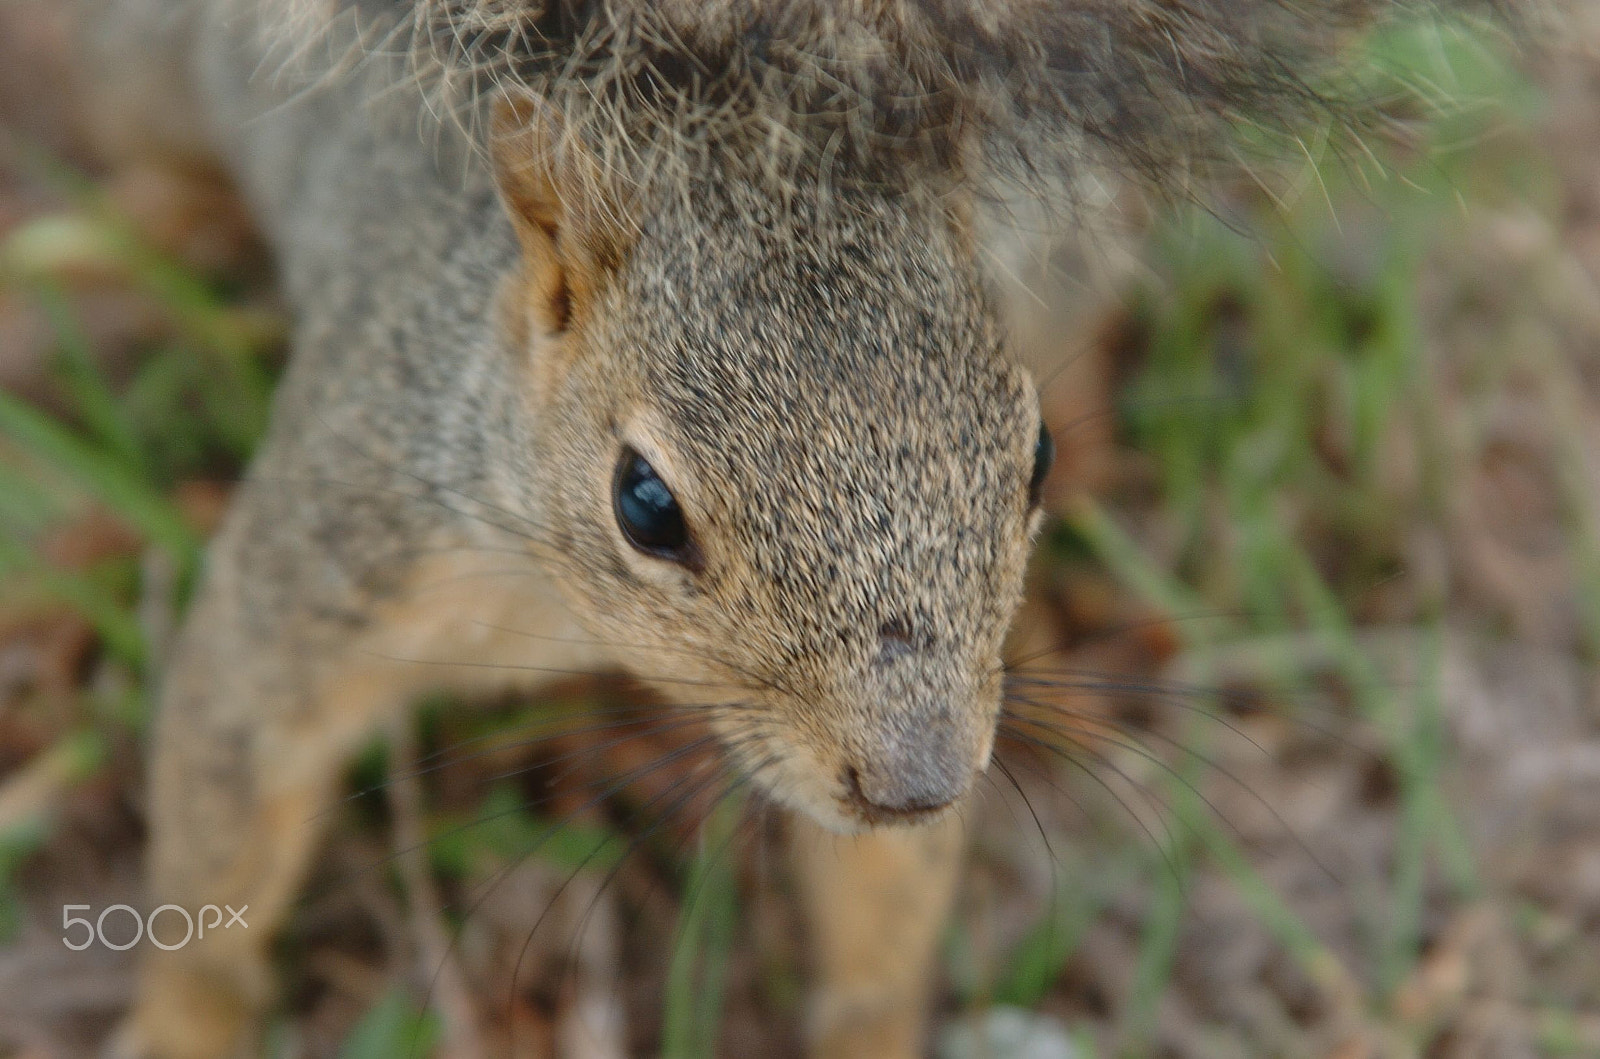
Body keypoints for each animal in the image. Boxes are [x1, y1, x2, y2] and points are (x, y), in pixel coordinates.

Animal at [72, 0, 1523, 1055]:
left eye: (1032, 456)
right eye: (645, 503)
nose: (917, 781)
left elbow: (879, 921)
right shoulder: (346, 544)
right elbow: (214, 843)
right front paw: (177, 1028)